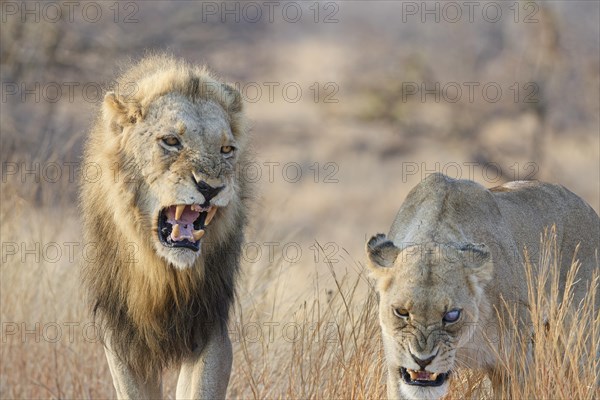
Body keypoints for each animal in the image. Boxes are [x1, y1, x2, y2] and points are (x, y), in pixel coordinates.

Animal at [81, 54, 250, 400]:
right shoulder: (122, 337)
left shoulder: (210, 326)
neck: (164, 274)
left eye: (226, 149)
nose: (211, 187)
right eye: (171, 141)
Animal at [368, 173, 596, 400]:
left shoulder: (514, 361)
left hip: (579, 339)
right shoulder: (396, 367)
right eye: (401, 312)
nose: (422, 360)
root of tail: (588, 207)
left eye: (452, 315)